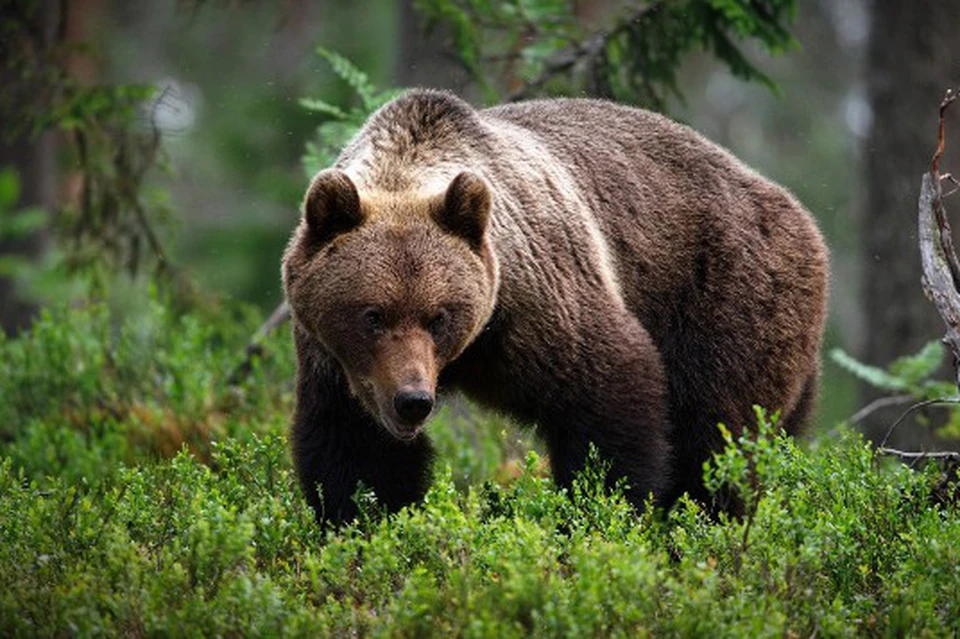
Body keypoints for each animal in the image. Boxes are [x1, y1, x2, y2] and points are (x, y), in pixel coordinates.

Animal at [282, 89, 828, 524]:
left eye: (439, 316)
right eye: (372, 314)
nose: (413, 400)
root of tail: (797, 211)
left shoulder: (539, 301)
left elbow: (609, 397)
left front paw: (601, 511)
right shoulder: (336, 364)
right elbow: (356, 452)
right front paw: (365, 522)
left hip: (724, 296)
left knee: (717, 439)